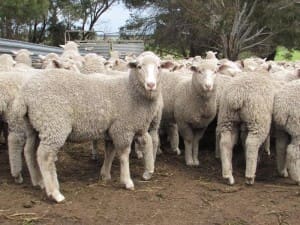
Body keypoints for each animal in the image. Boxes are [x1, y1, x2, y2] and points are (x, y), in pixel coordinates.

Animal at [8, 51, 169, 203]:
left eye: (159, 67)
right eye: (139, 67)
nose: (151, 85)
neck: (131, 92)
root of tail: (24, 95)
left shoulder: (115, 128)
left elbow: (112, 151)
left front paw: (106, 175)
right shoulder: (123, 128)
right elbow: (124, 154)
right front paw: (127, 181)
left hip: (34, 126)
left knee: (29, 151)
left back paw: (38, 181)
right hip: (54, 124)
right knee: (45, 156)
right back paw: (55, 193)